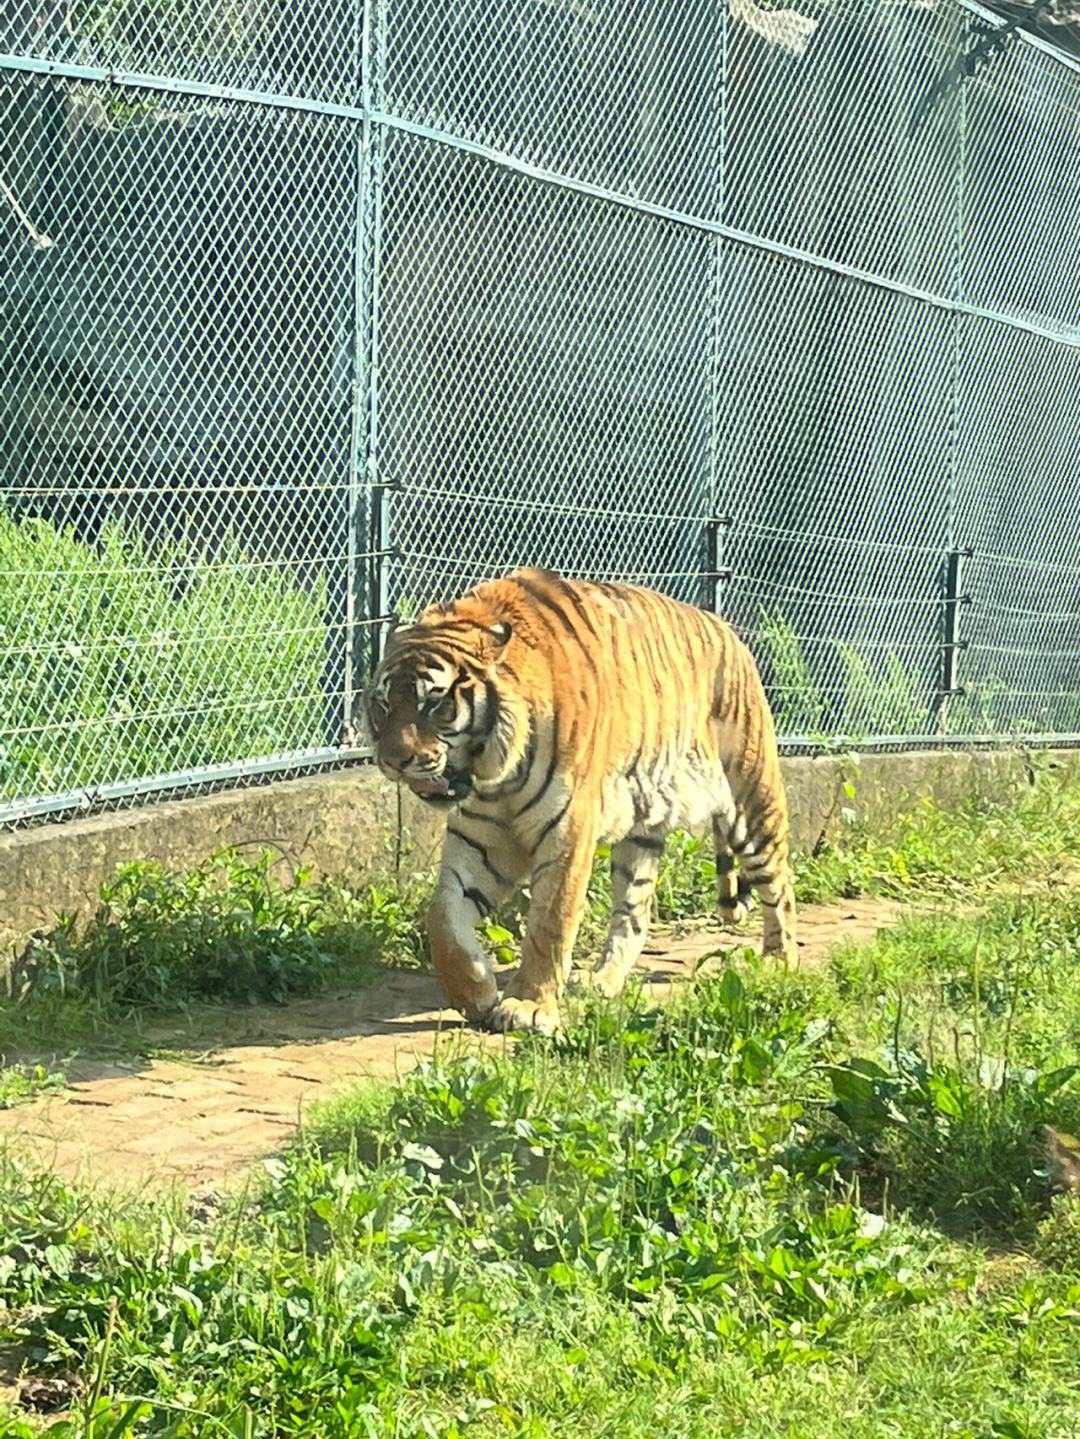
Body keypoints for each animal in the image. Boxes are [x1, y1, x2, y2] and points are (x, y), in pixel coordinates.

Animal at [368, 566, 799, 1030]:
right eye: (382, 705)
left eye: (433, 703)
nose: (392, 760)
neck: (493, 777)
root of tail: (730, 632)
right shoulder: (479, 841)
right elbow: (443, 918)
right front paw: (475, 993)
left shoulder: (567, 830)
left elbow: (550, 922)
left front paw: (528, 1006)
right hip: (641, 830)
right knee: (634, 912)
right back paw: (601, 980)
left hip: (750, 802)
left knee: (781, 881)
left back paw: (780, 961)